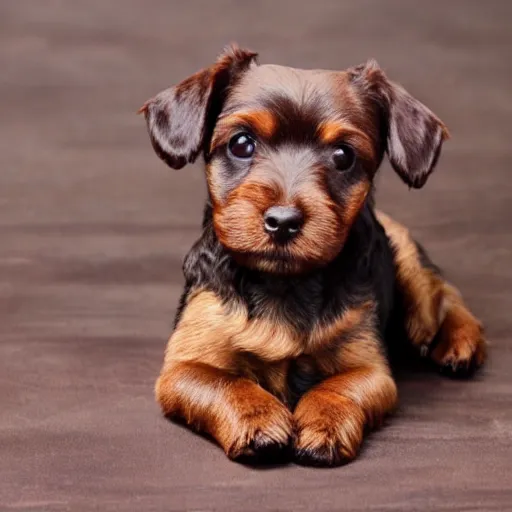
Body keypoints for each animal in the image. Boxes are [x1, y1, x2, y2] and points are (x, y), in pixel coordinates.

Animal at [138, 46, 486, 466]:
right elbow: (227, 383)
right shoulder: (182, 366)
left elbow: (337, 387)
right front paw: (259, 419)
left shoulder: (370, 369)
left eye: (343, 156)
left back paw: (461, 341)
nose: (283, 222)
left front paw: (324, 423)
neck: (284, 284)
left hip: (410, 272)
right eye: (241, 144)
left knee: (442, 292)